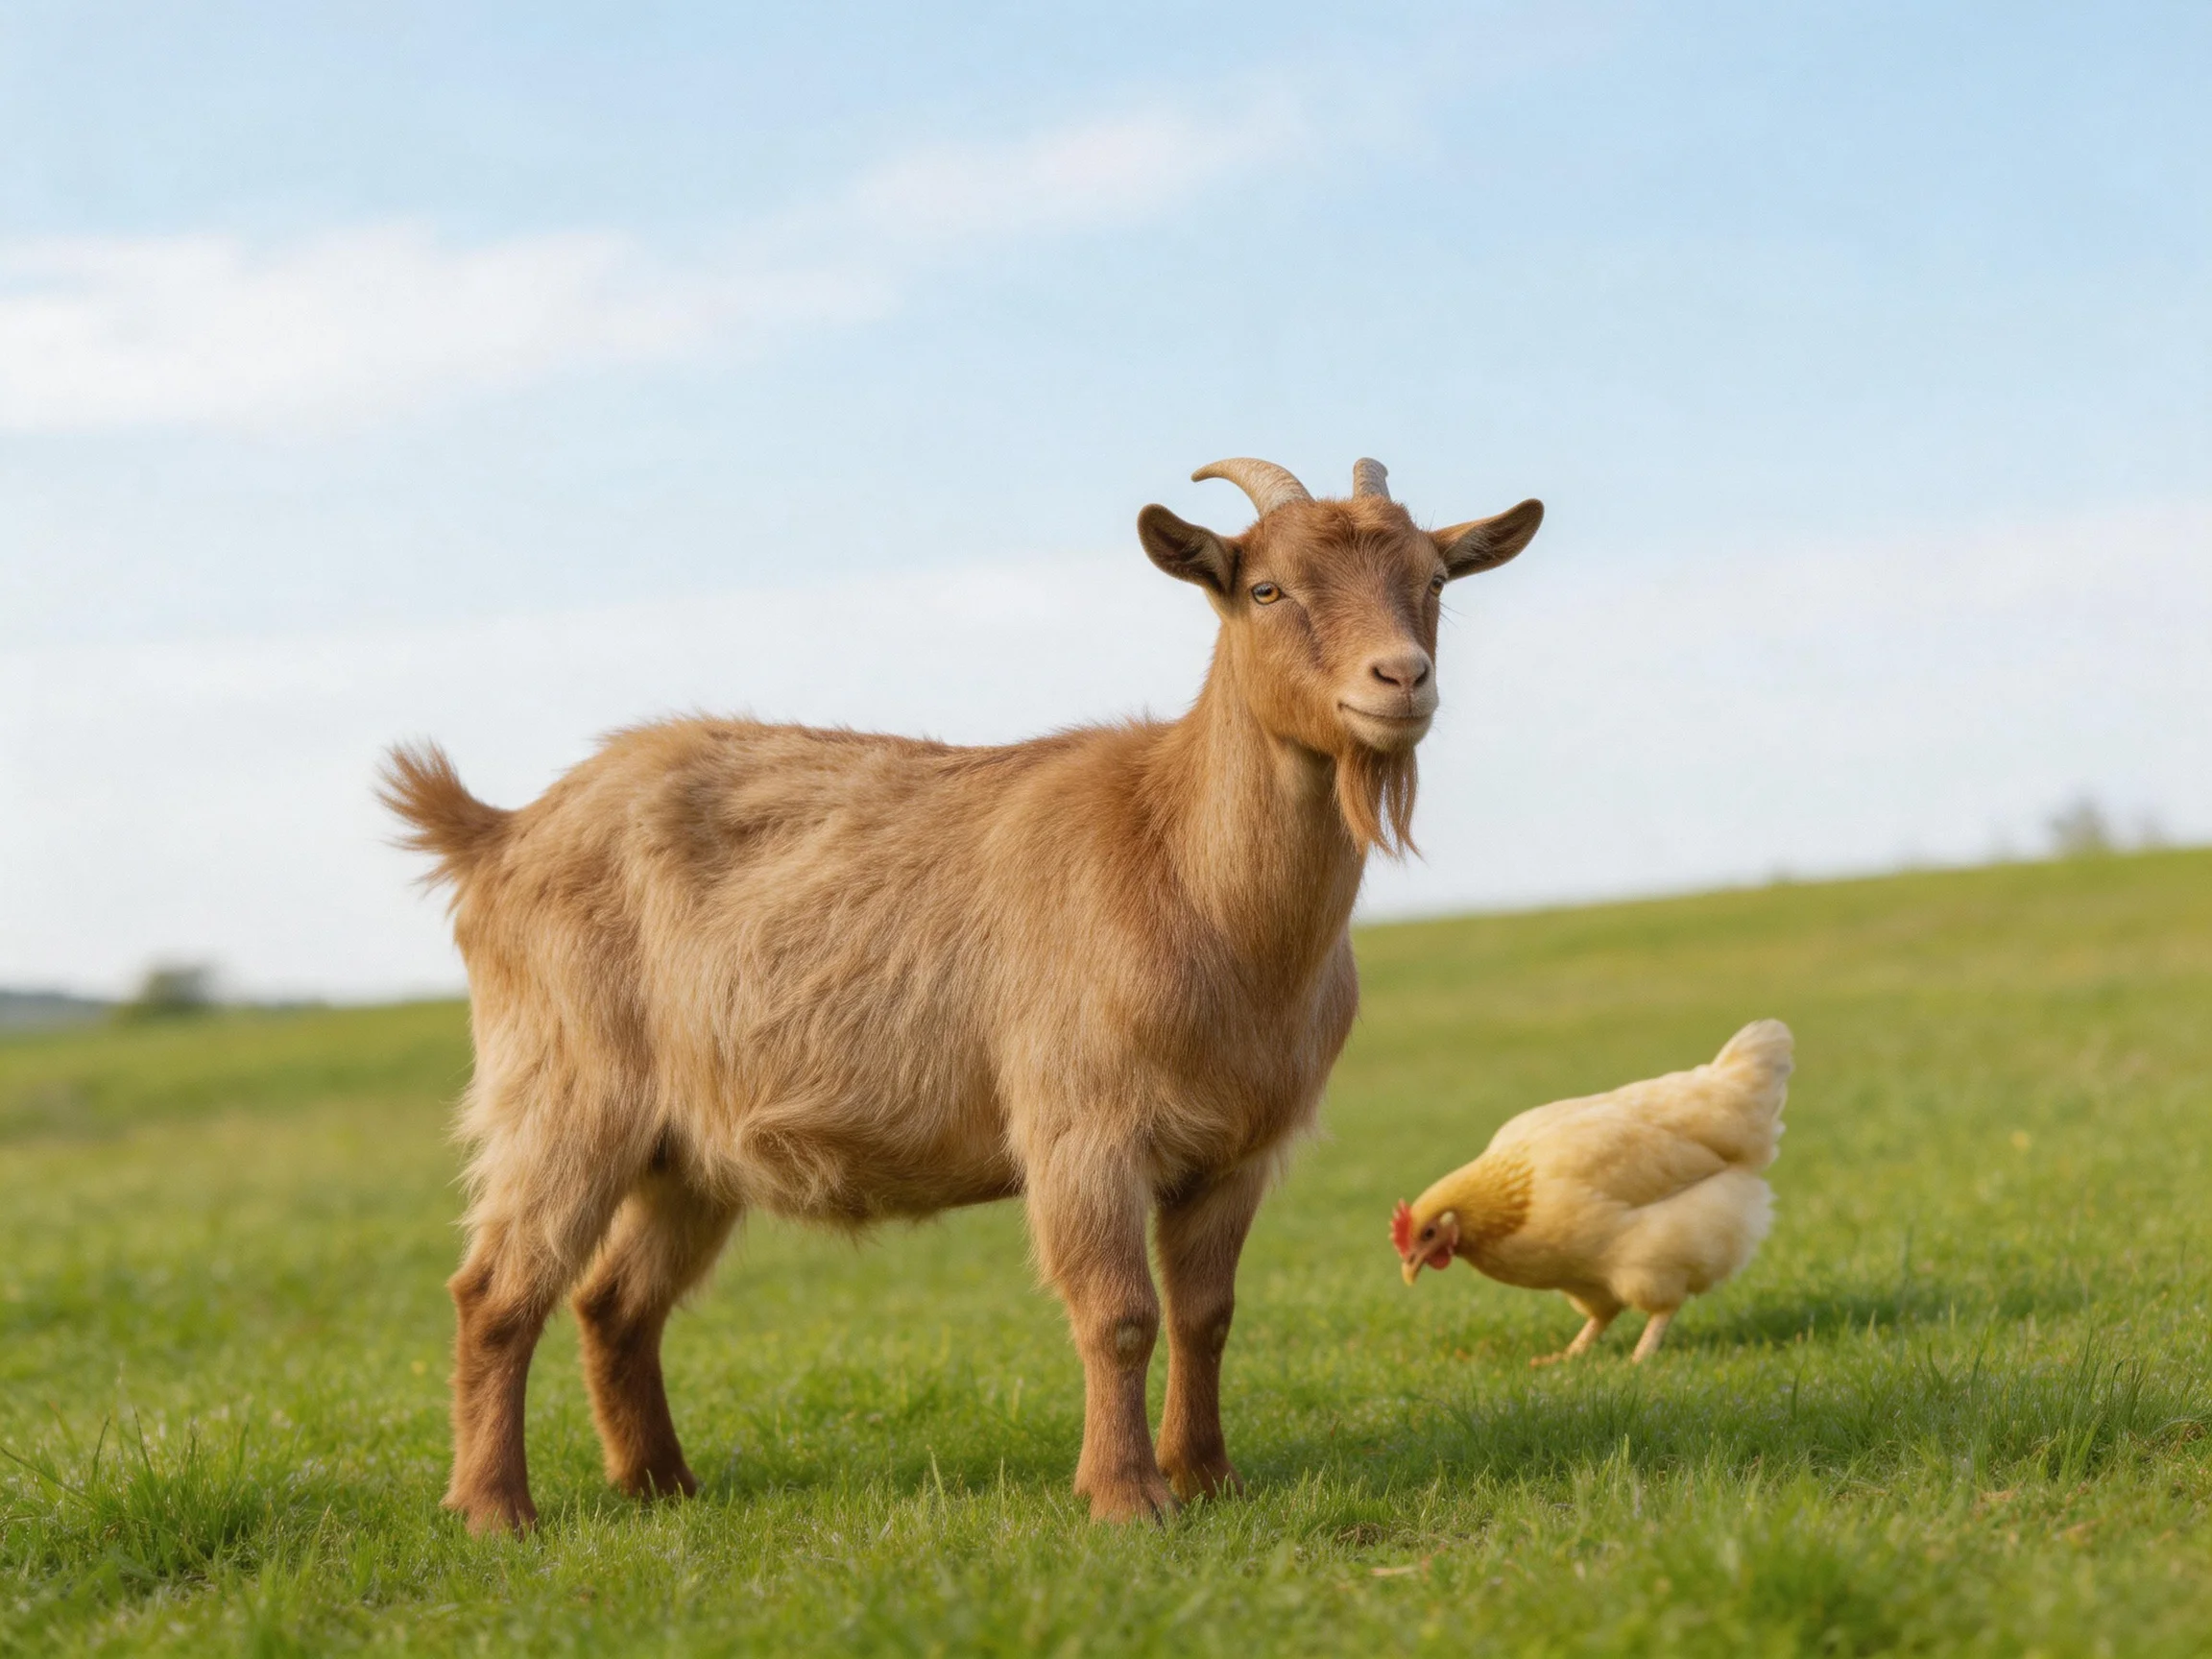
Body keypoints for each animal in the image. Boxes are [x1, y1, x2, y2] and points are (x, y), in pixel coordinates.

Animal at [381, 456, 1543, 1534]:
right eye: (1265, 588)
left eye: (1435, 579)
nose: (1401, 679)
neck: (1183, 865)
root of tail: (498, 833)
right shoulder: (1083, 1128)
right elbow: (1120, 1314)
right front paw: (1128, 1498)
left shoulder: (1236, 1153)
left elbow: (1205, 1313)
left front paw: (1210, 1478)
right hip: (565, 1096)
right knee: (498, 1291)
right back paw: (494, 1510)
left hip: (687, 1153)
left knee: (615, 1301)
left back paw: (662, 1485)